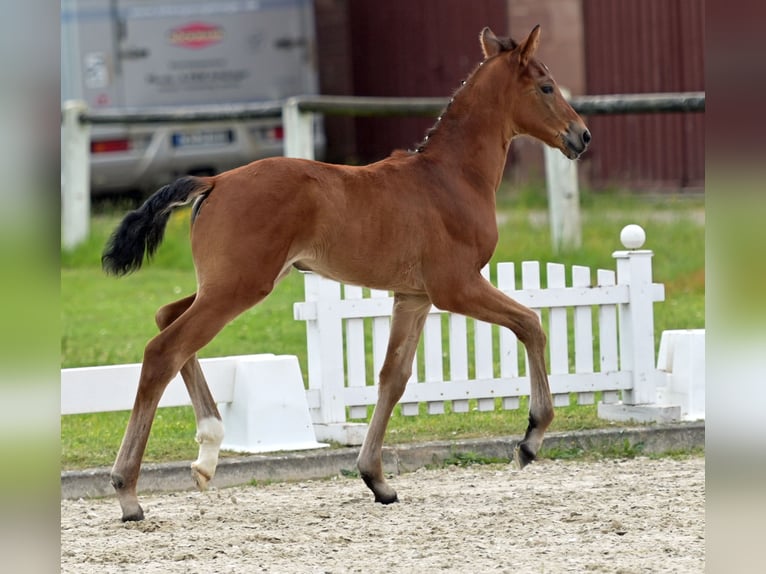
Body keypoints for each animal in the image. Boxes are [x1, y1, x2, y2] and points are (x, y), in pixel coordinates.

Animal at [102, 25, 592, 520]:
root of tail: (216, 181)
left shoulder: (414, 297)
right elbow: (530, 324)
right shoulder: (457, 286)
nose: (582, 136)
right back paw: (128, 490)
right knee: (164, 350)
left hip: (227, 284)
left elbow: (393, 377)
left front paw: (377, 479)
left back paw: (206, 454)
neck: (451, 176)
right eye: (546, 87)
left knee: (167, 318)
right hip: (239, 287)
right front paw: (530, 440)